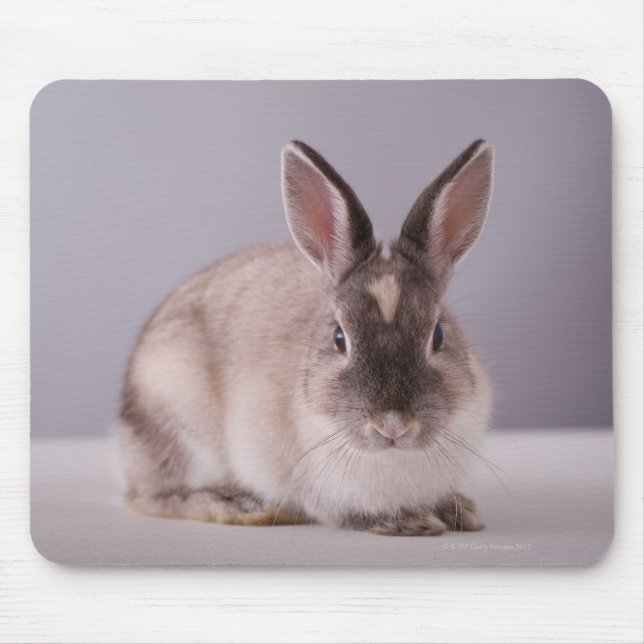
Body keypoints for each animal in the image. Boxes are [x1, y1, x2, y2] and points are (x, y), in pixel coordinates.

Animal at [118, 139, 494, 536]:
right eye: (339, 338)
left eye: (438, 335)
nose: (392, 425)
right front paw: (409, 520)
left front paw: (458, 511)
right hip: (177, 422)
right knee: (154, 496)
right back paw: (241, 506)